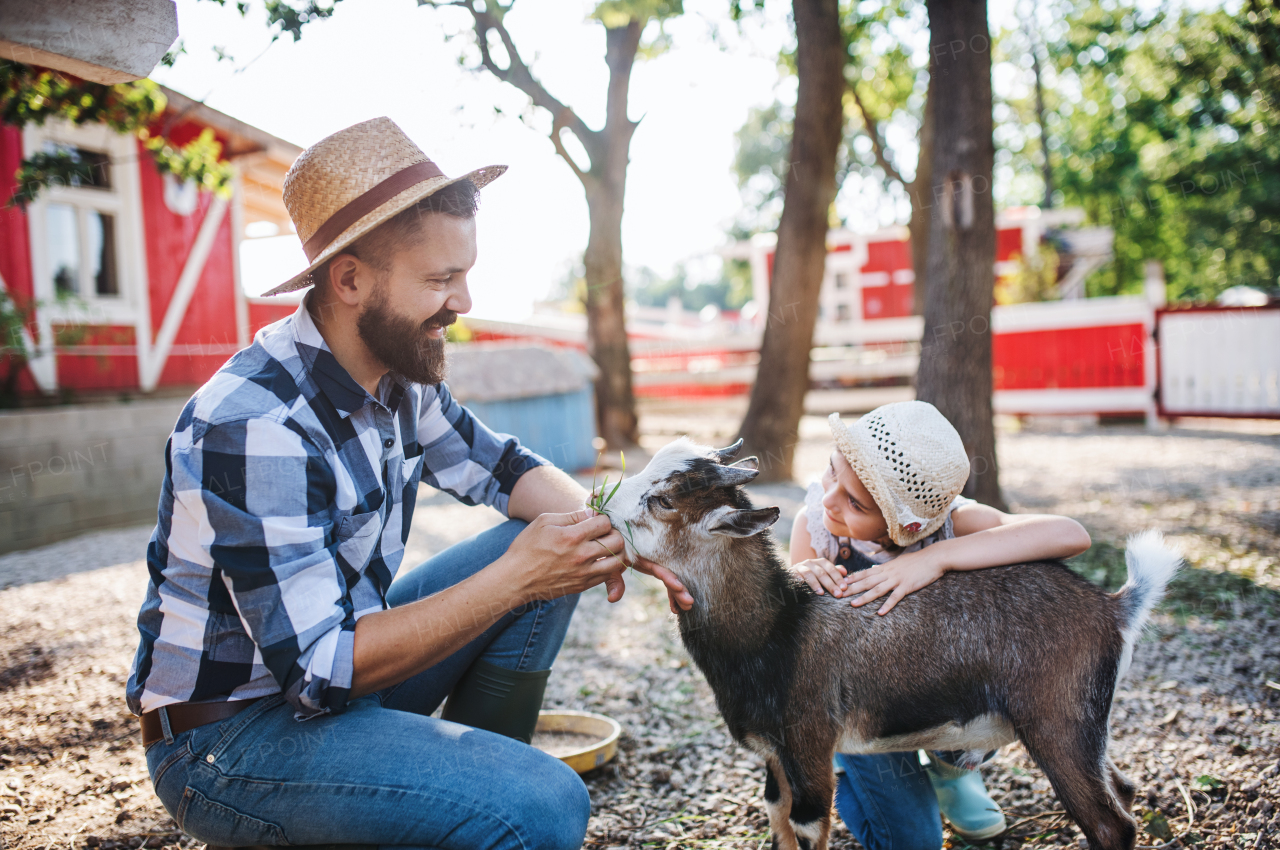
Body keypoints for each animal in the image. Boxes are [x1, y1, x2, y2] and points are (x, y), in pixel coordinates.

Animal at [604, 437, 1182, 850]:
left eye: (662, 500)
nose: (599, 506)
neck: (776, 630)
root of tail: (1112, 606)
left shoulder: (810, 746)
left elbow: (807, 825)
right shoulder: (773, 757)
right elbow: (776, 817)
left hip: (1058, 722)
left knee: (1110, 825)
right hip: (1086, 728)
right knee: (1124, 792)